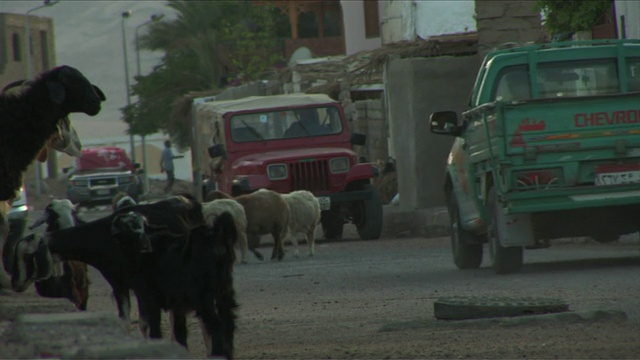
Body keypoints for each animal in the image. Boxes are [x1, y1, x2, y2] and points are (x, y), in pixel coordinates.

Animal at [111, 210, 239, 358]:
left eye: (143, 225)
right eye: (126, 228)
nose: (145, 245)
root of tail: (215, 237)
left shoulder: (150, 298)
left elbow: (154, 329)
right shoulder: (177, 305)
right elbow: (180, 332)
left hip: (204, 298)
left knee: (216, 325)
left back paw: (217, 354)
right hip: (224, 292)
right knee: (228, 323)